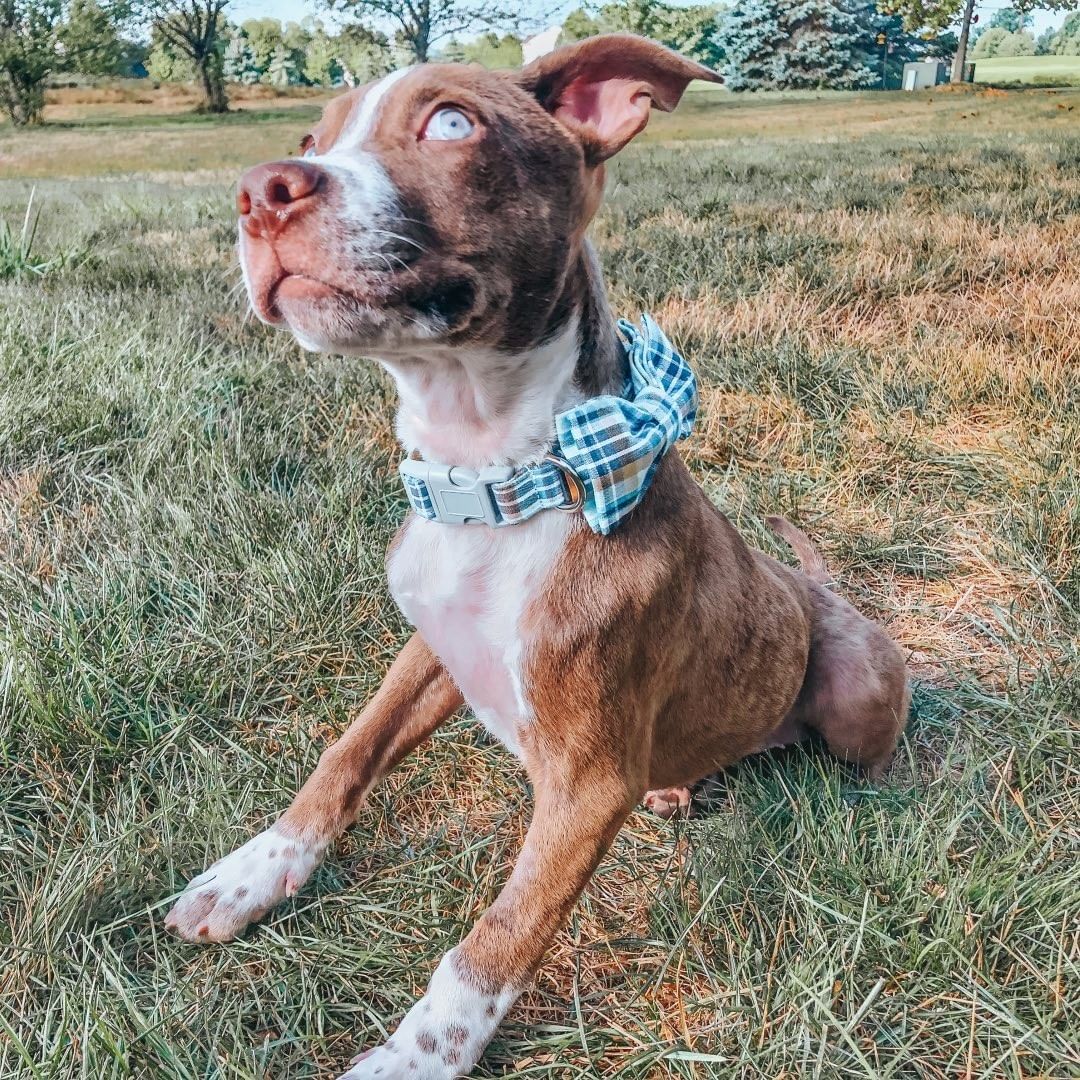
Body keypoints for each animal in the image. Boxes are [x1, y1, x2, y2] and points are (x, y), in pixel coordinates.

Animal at [166, 35, 911, 1080]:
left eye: (451, 122)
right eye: (312, 139)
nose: (259, 191)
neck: (499, 481)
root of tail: (815, 589)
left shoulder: (587, 789)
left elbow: (499, 938)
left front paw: (416, 1055)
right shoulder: (431, 649)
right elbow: (346, 752)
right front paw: (254, 873)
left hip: (853, 684)